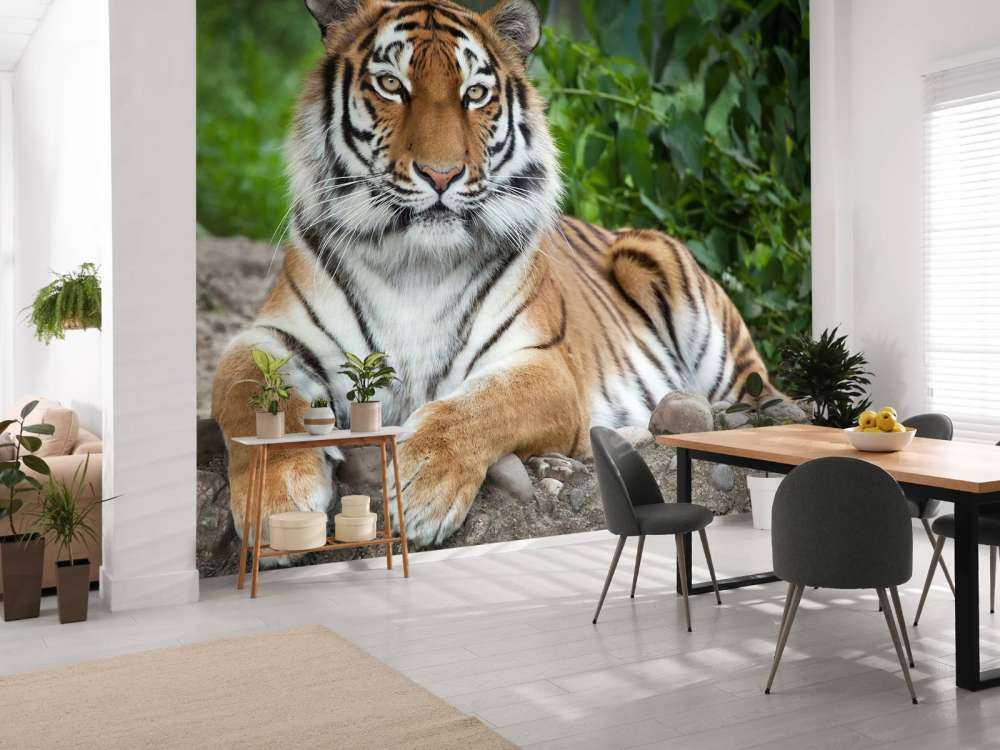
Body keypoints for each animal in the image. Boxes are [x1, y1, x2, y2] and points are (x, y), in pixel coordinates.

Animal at [211, 0, 777, 550]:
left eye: (475, 93)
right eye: (391, 85)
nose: (441, 174)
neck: (413, 263)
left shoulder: (544, 363)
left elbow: (482, 405)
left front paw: (418, 486)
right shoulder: (271, 334)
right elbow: (248, 392)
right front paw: (279, 504)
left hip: (674, 287)